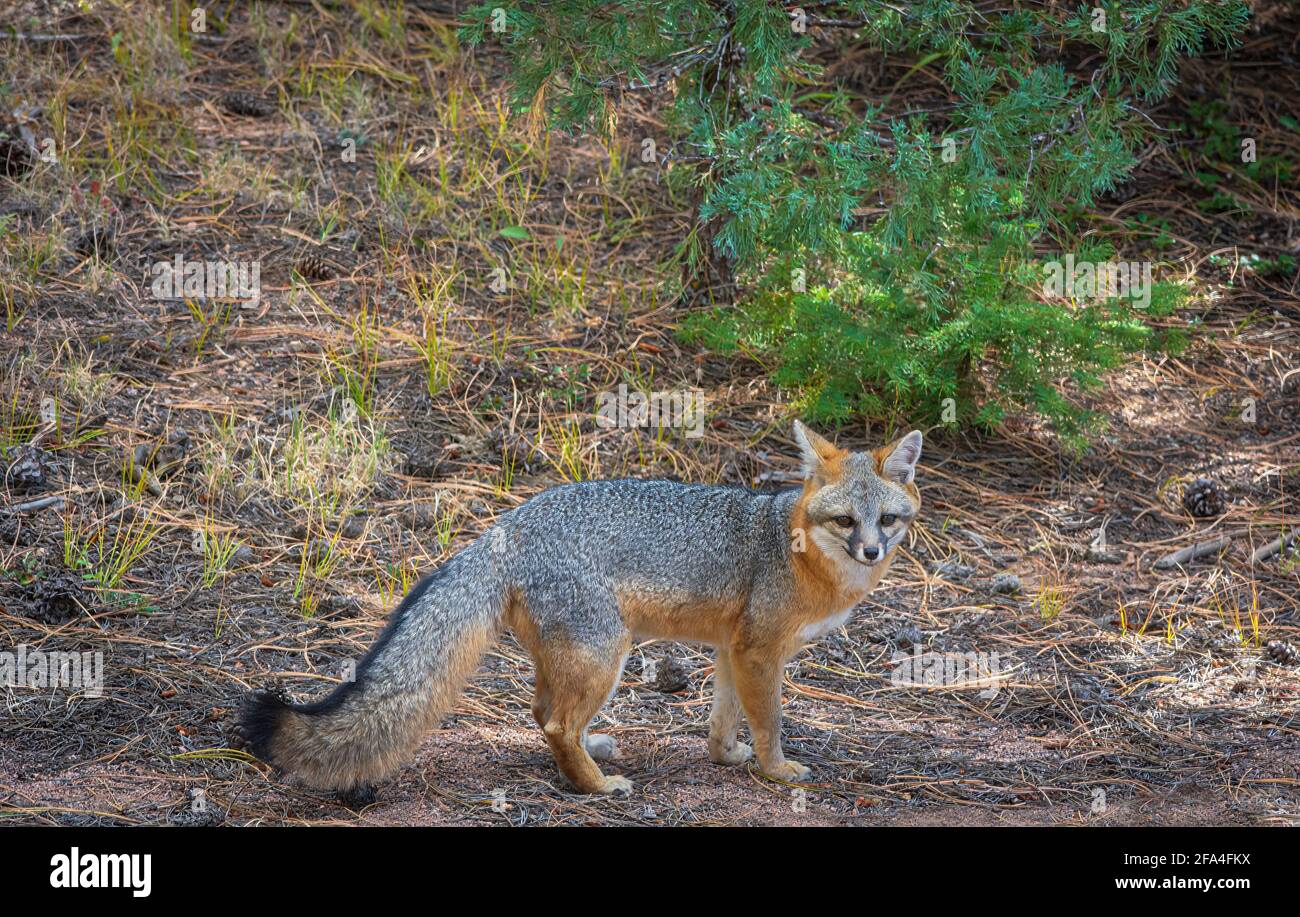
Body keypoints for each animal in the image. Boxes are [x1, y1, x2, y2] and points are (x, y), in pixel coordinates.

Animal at [236, 421, 925, 796]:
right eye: (846, 521)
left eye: (887, 520)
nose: (870, 550)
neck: (797, 549)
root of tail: (505, 528)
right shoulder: (760, 651)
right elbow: (769, 722)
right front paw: (776, 771)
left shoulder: (733, 649)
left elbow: (724, 717)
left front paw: (726, 757)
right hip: (606, 653)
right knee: (556, 724)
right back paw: (594, 787)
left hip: (572, 656)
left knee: (542, 714)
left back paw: (592, 754)